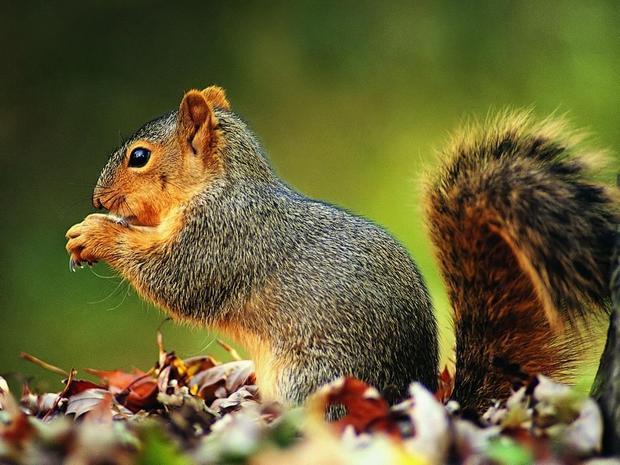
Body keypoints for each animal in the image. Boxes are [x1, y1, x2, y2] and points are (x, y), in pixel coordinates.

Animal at [64, 86, 620, 414]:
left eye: (139, 157)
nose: (96, 198)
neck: (222, 185)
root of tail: (408, 398)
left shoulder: (222, 238)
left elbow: (175, 279)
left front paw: (95, 233)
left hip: (311, 377)